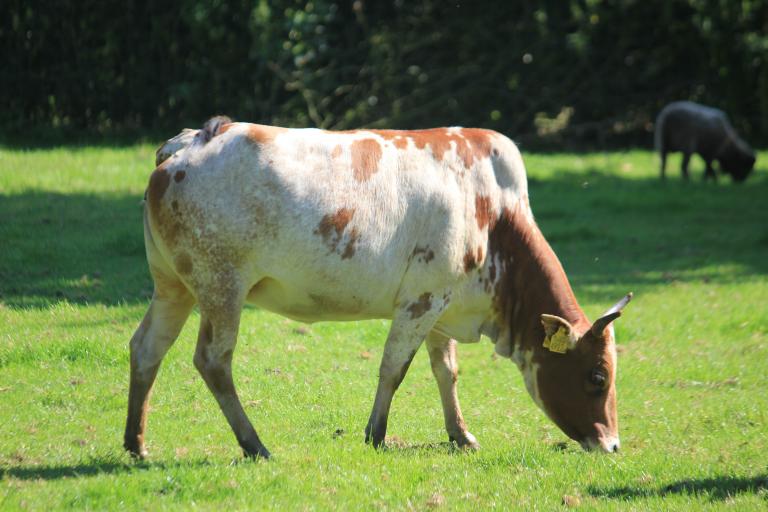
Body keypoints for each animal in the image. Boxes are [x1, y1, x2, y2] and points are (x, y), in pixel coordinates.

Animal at [124, 117, 632, 460]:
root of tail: (191, 141)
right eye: (597, 376)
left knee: (146, 348)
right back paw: (254, 444)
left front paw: (460, 433)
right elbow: (394, 369)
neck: (496, 215)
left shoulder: (441, 301)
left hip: (173, 286)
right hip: (221, 286)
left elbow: (445, 371)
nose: (611, 444)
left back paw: (136, 444)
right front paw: (377, 433)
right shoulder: (421, 300)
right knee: (213, 360)